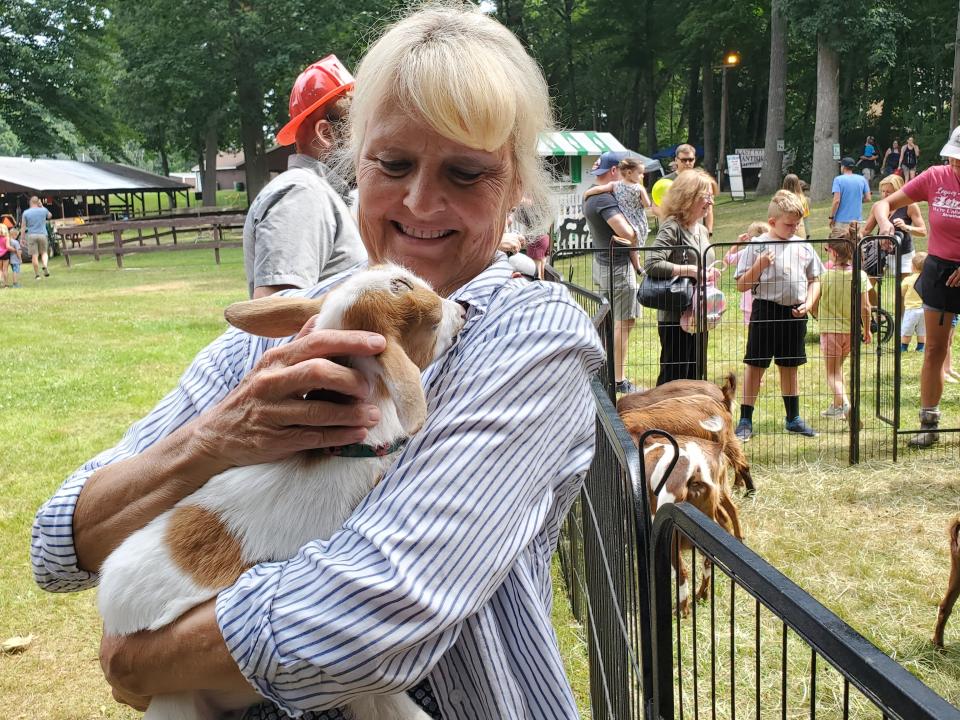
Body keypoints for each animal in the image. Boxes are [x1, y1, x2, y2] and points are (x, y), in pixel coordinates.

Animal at [640, 436, 748, 616]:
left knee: (682, 571)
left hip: (672, 538)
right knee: (708, 562)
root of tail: (696, 474)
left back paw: (681, 610)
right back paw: (701, 596)